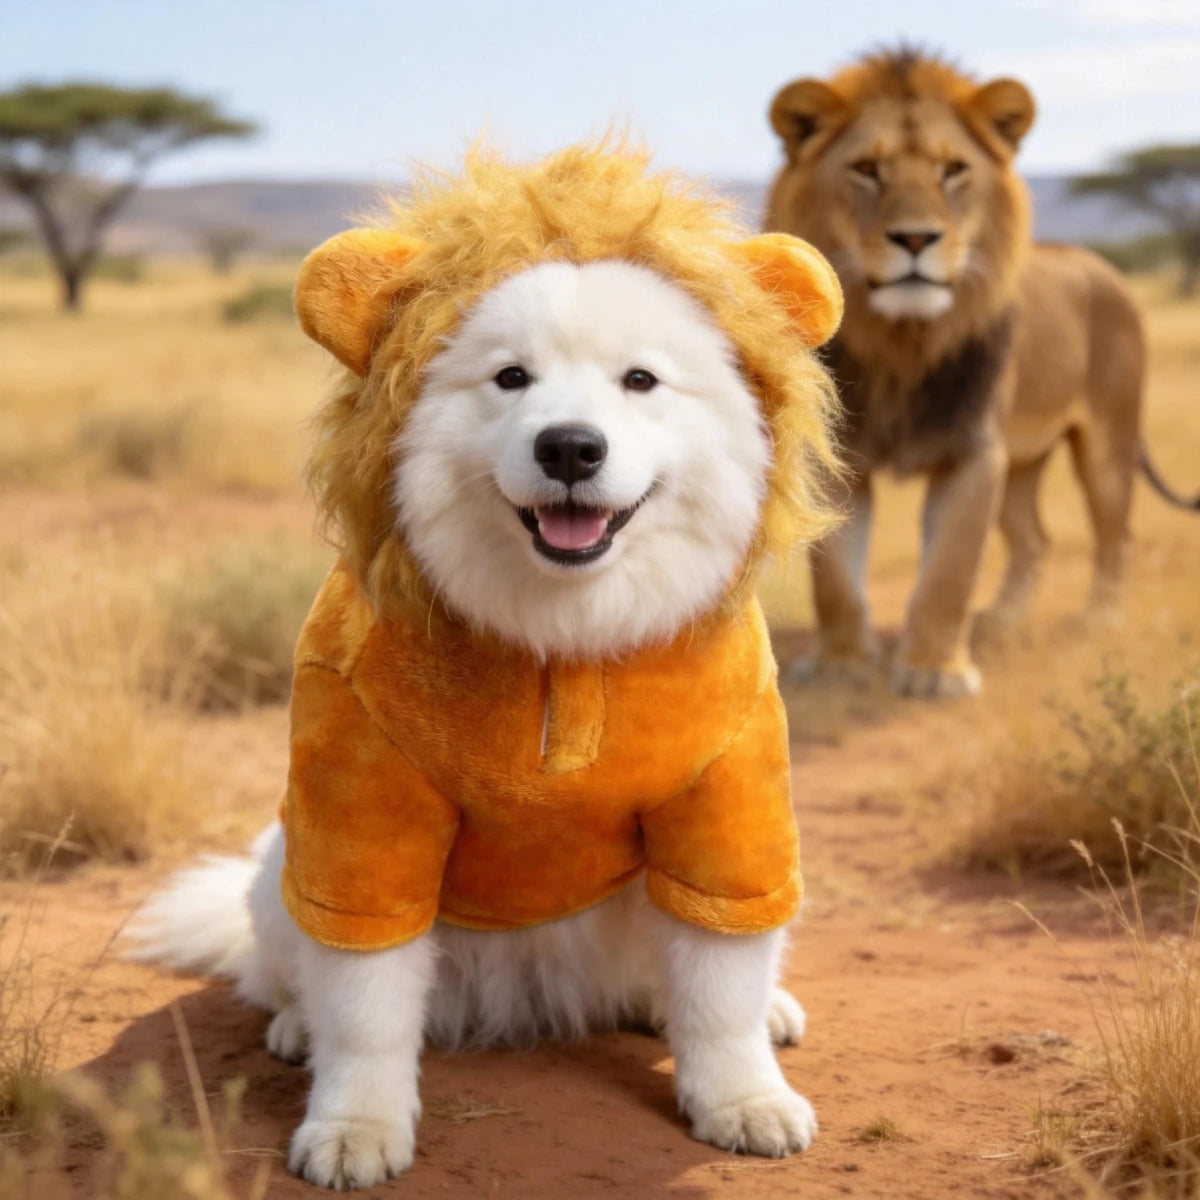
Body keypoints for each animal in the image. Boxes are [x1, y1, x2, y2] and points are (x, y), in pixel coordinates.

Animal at [765, 47, 1199, 698]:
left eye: (953, 171)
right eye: (867, 169)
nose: (916, 237)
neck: (903, 345)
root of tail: (1100, 265)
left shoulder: (974, 452)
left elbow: (949, 569)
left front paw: (933, 672)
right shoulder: (839, 461)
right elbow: (835, 578)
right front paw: (842, 664)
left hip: (1108, 442)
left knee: (1115, 534)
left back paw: (1100, 619)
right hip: (1023, 461)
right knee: (1035, 541)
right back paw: (1002, 620)